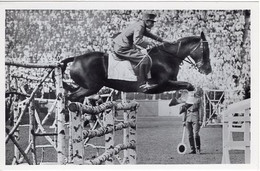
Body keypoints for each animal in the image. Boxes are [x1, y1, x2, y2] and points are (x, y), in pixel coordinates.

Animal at [60, 31, 211, 101]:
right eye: (205, 49)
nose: (208, 70)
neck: (167, 57)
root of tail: (76, 58)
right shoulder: (160, 85)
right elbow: (188, 85)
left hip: (86, 87)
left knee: (74, 97)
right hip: (92, 87)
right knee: (72, 97)